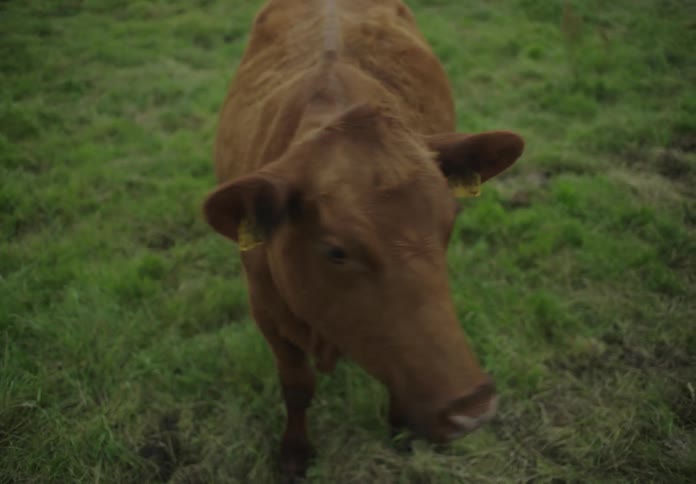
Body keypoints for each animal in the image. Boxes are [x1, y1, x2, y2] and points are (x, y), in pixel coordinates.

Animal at [203, 0, 524, 479]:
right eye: (336, 251)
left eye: (448, 223)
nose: (472, 408)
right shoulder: (267, 314)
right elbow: (296, 386)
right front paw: (294, 452)